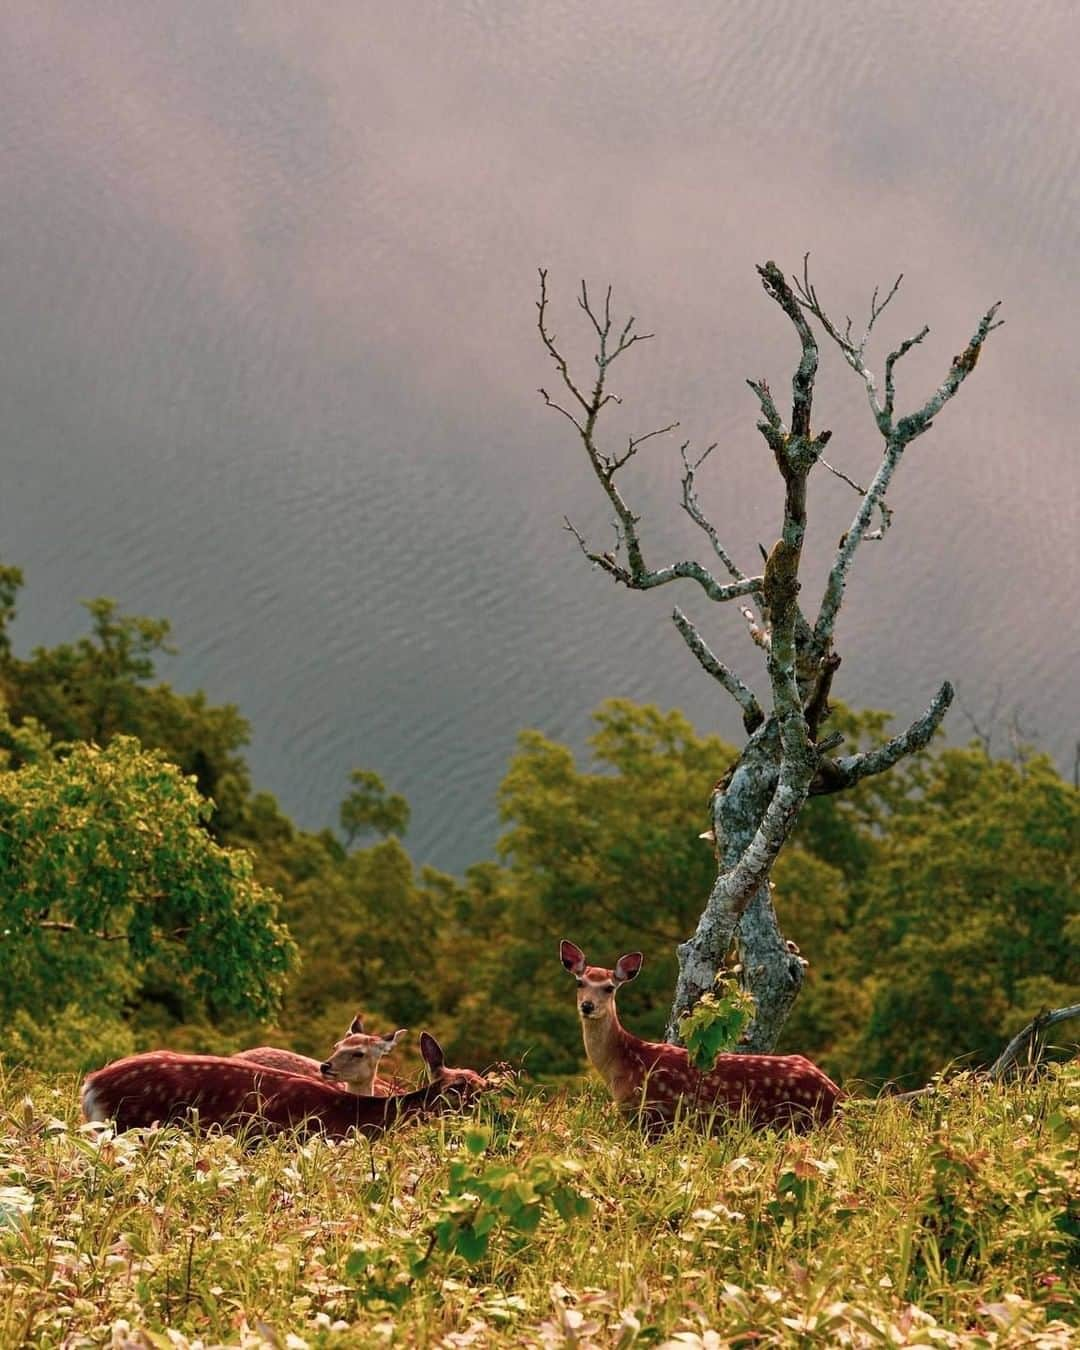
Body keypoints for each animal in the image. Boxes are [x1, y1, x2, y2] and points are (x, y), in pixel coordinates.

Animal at [561, 945, 837, 1134]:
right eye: (579, 982)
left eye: (609, 987)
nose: (587, 1006)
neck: (625, 1064)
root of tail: (837, 1094)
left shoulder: (654, 1115)